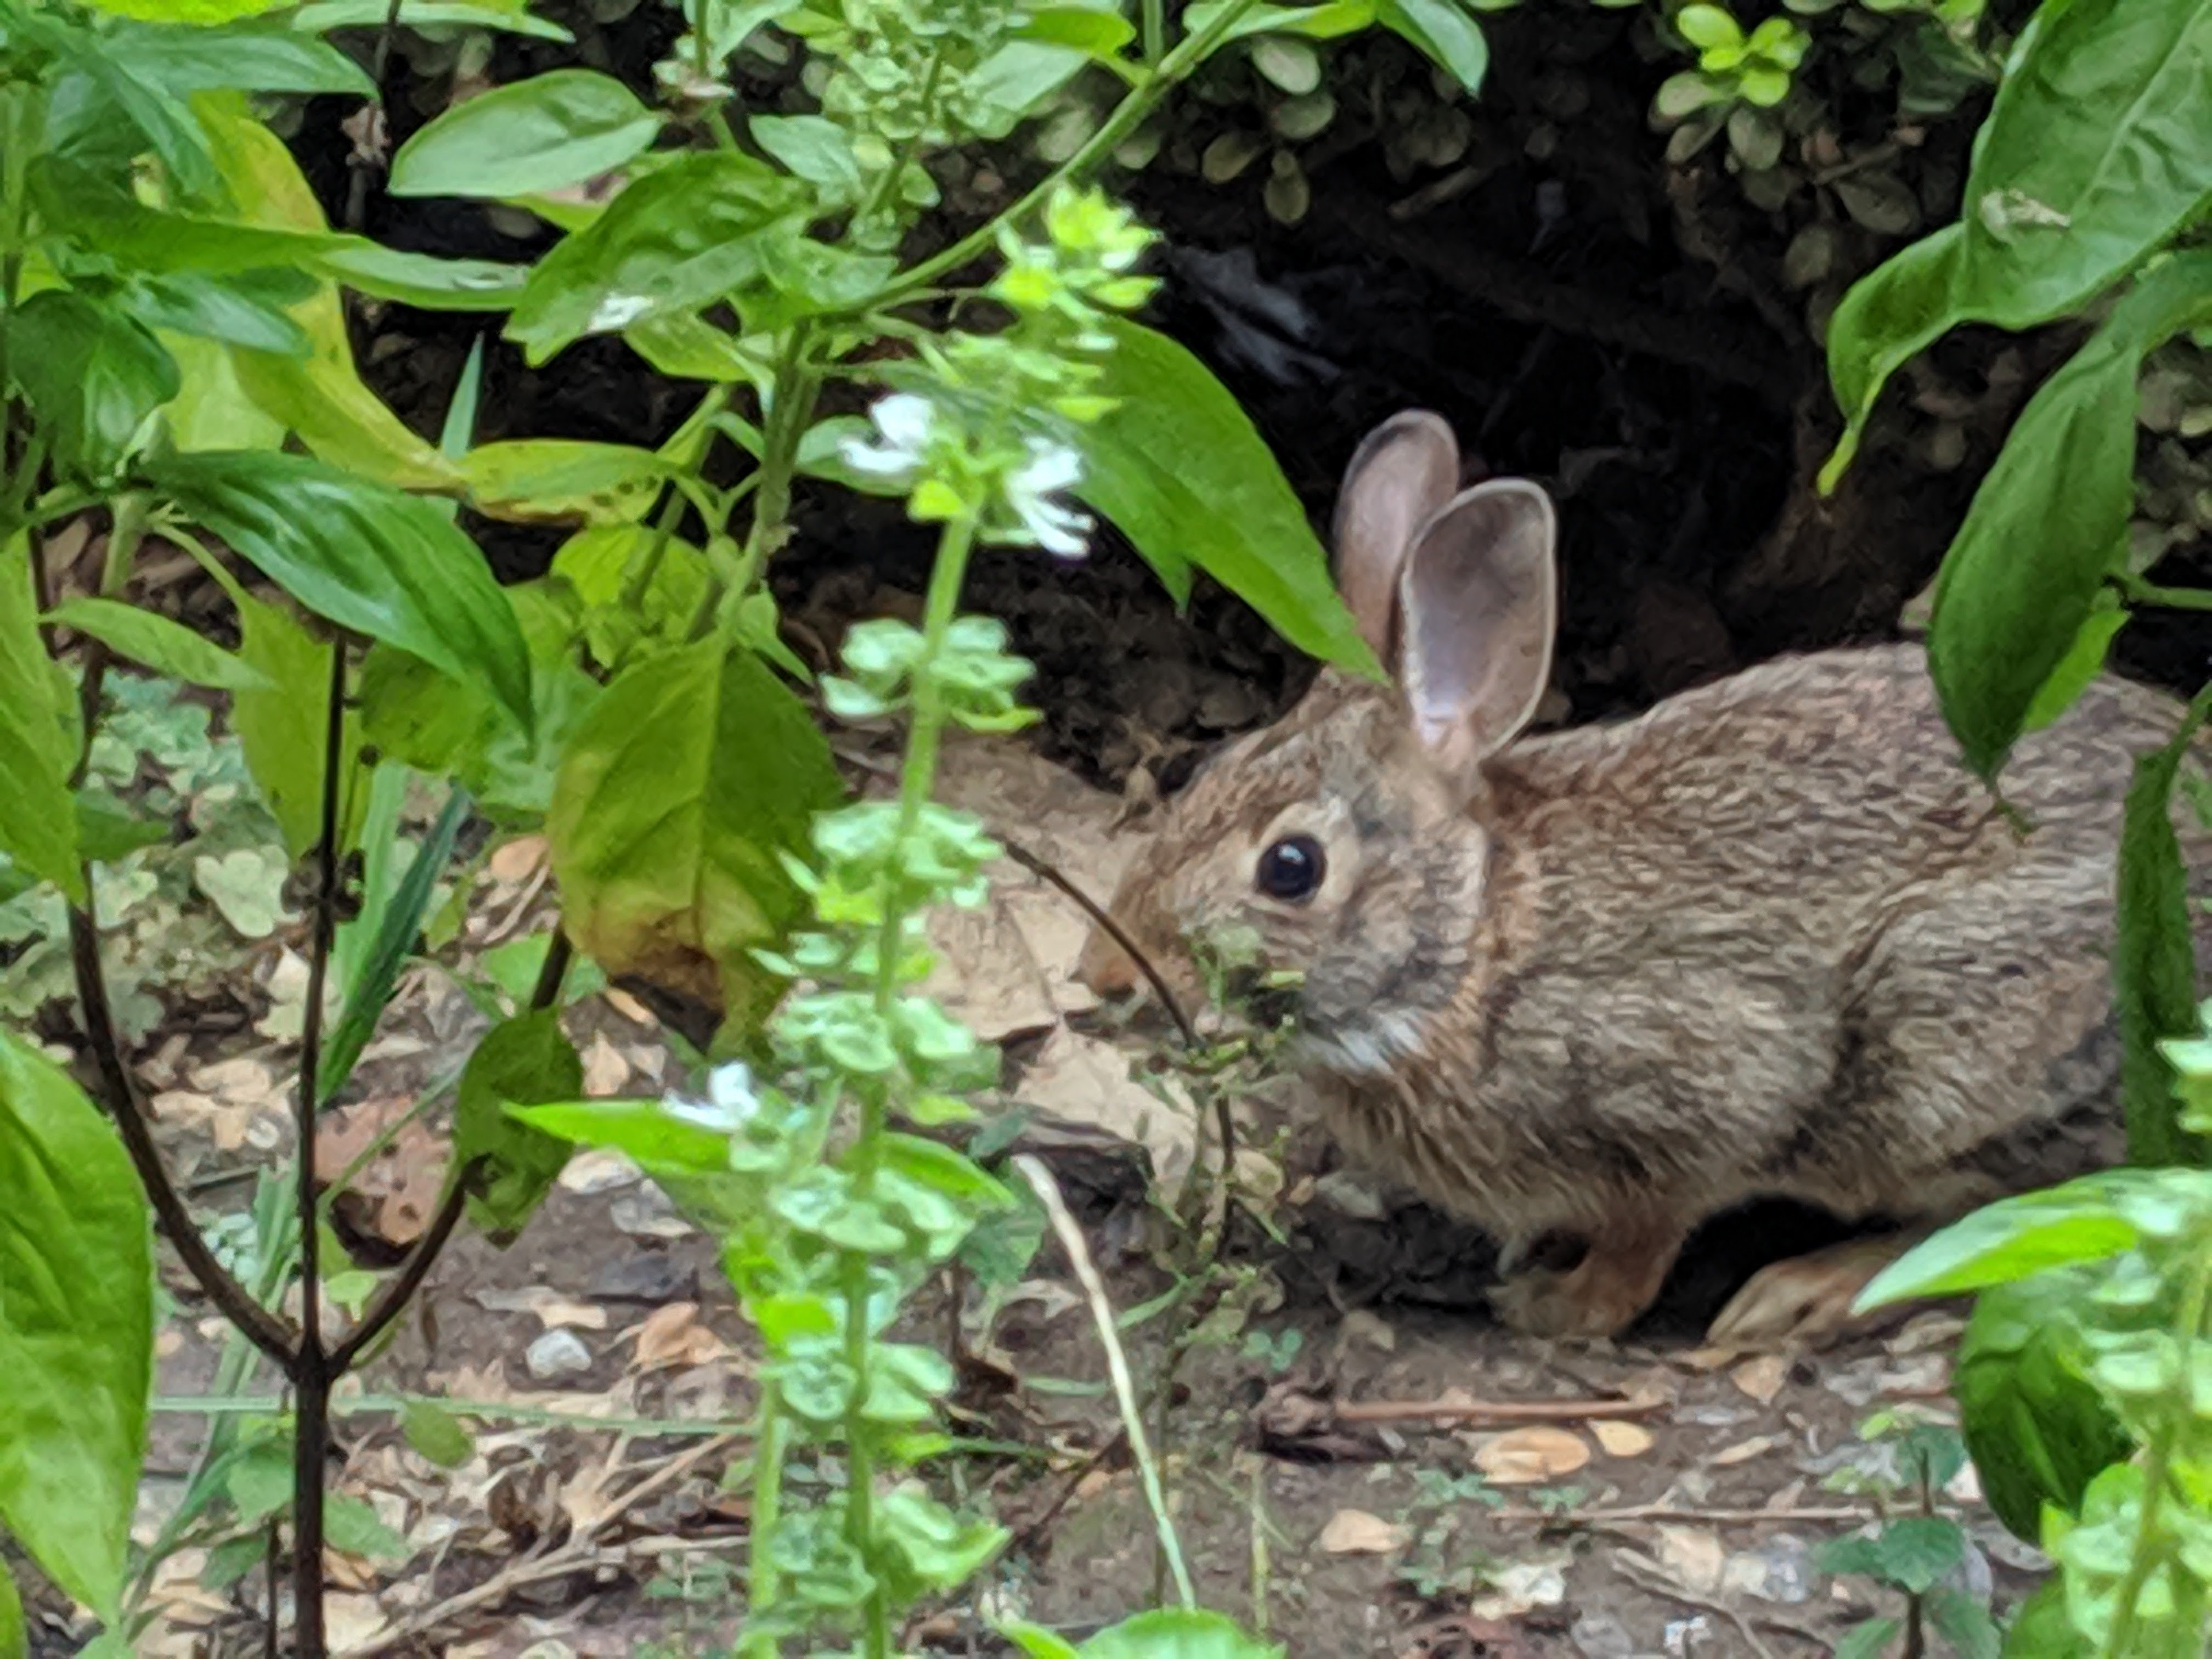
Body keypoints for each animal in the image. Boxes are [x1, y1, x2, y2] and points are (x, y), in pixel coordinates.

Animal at [1075, 409, 2211, 1345]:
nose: (1104, 974)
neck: (1478, 941)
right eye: (1207, 770)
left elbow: (1651, 1226)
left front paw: (1558, 1304)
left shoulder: (1693, 1093)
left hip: (1946, 1039)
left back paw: (1804, 1292)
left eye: (1291, 867)